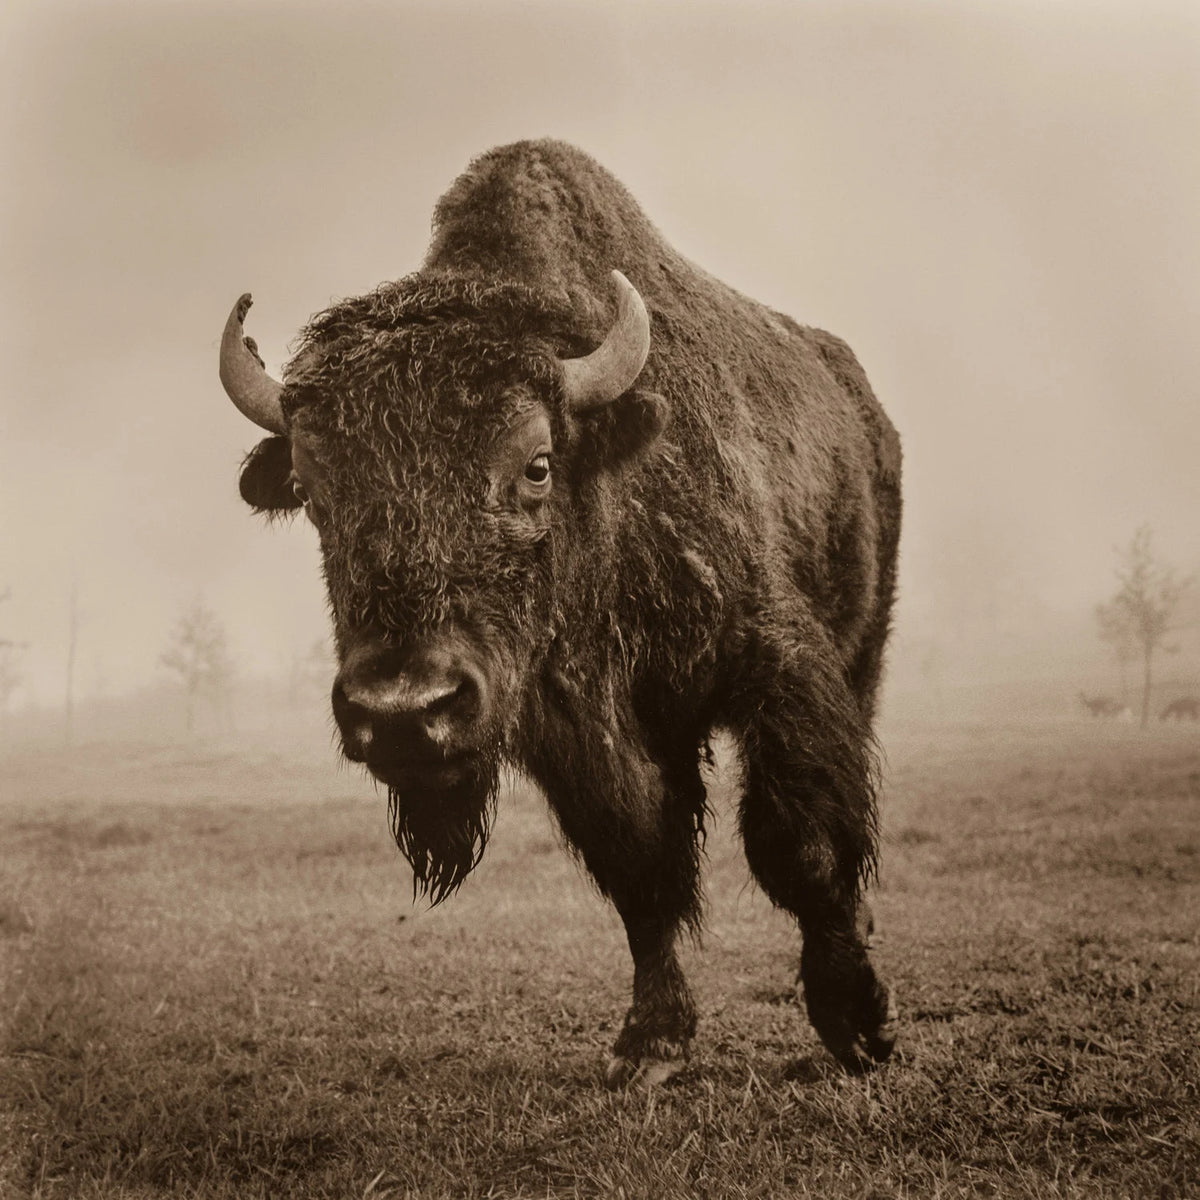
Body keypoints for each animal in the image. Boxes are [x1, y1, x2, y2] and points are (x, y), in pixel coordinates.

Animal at [220, 140, 902, 1082]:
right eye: (315, 496)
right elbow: (641, 863)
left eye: (536, 466)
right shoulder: (572, 730)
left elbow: (801, 846)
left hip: (862, 640)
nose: (402, 711)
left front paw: (860, 1026)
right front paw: (651, 1043)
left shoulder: (776, 665)